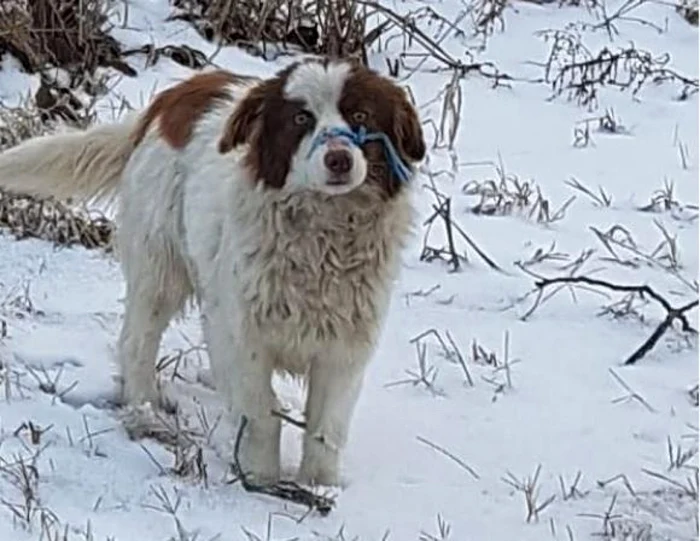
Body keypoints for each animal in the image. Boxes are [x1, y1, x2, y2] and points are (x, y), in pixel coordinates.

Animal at [0, 58, 426, 486]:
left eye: (361, 116)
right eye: (301, 118)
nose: (339, 159)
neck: (323, 235)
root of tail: (172, 99)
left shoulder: (344, 347)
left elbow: (326, 428)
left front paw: (319, 487)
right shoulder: (242, 334)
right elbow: (261, 412)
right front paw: (260, 477)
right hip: (160, 270)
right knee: (137, 341)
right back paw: (144, 410)